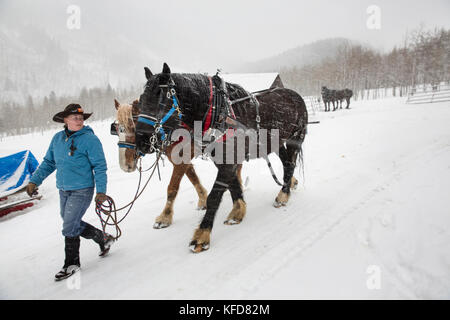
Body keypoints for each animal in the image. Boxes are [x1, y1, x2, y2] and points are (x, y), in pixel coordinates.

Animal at [114, 99, 243, 229]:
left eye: (133, 128)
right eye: (116, 129)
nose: (125, 165)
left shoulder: (181, 159)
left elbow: (172, 188)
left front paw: (165, 217)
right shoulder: (180, 159)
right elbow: (193, 179)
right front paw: (203, 200)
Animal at [135, 62, 308, 252]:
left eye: (161, 99)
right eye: (141, 100)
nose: (142, 140)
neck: (218, 112)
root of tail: (294, 94)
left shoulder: (227, 160)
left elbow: (214, 196)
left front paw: (202, 235)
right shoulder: (222, 160)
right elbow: (233, 186)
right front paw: (238, 211)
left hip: (295, 138)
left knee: (290, 164)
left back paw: (283, 195)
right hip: (276, 143)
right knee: (286, 163)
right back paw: (287, 186)